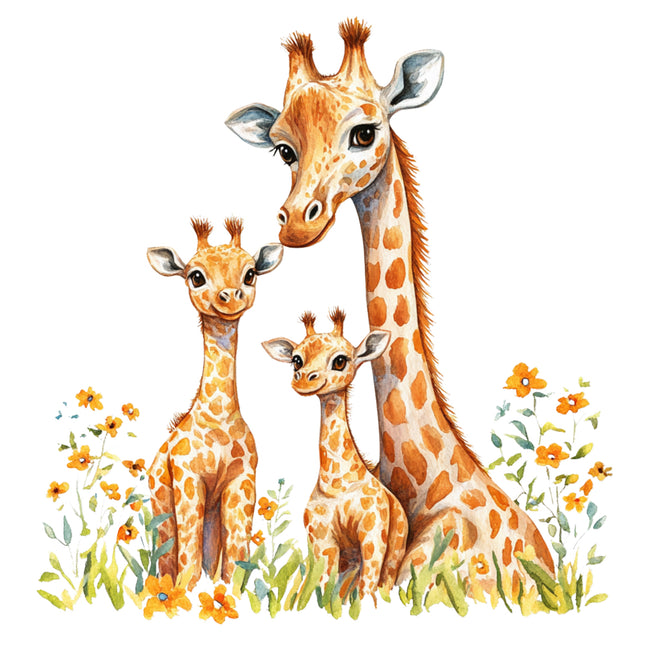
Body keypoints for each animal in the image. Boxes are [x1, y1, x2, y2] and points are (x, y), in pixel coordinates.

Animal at [146, 217, 283, 590]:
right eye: (196, 276)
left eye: (250, 273)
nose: (231, 296)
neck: (219, 419)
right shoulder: (188, 478)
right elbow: (188, 564)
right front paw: (184, 596)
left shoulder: (242, 480)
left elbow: (235, 563)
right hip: (162, 511)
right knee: (167, 559)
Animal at [262, 308, 408, 602]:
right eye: (296, 360)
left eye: (340, 360)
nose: (303, 379)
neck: (337, 484)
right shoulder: (321, 538)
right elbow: (321, 590)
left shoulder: (372, 533)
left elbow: (366, 591)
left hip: (394, 551)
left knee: (384, 582)